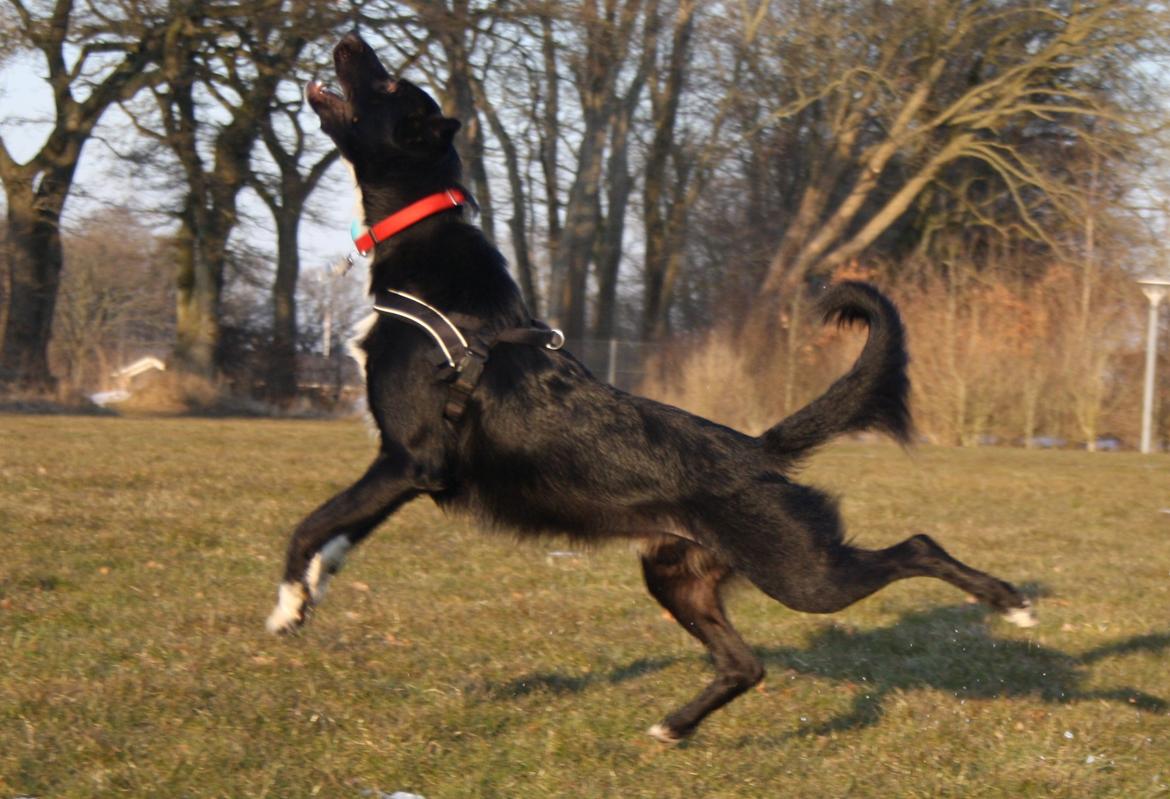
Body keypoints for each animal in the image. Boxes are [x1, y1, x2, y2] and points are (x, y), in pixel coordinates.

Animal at [267, 31, 1034, 744]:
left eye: (387, 83)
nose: (350, 39)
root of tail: (757, 450)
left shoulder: (409, 460)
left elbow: (311, 524)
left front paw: (284, 606)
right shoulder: (404, 470)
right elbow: (339, 534)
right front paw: (309, 596)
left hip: (804, 570)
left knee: (917, 546)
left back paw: (1012, 603)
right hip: (677, 575)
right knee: (746, 664)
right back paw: (675, 726)